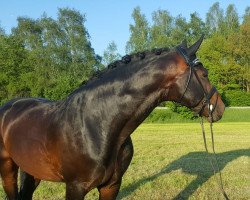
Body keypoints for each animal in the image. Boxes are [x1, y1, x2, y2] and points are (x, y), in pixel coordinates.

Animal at [0, 36, 225, 200]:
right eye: (204, 74)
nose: (220, 107)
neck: (98, 125)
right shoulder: (75, 187)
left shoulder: (112, 185)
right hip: (7, 168)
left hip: (32, 170)